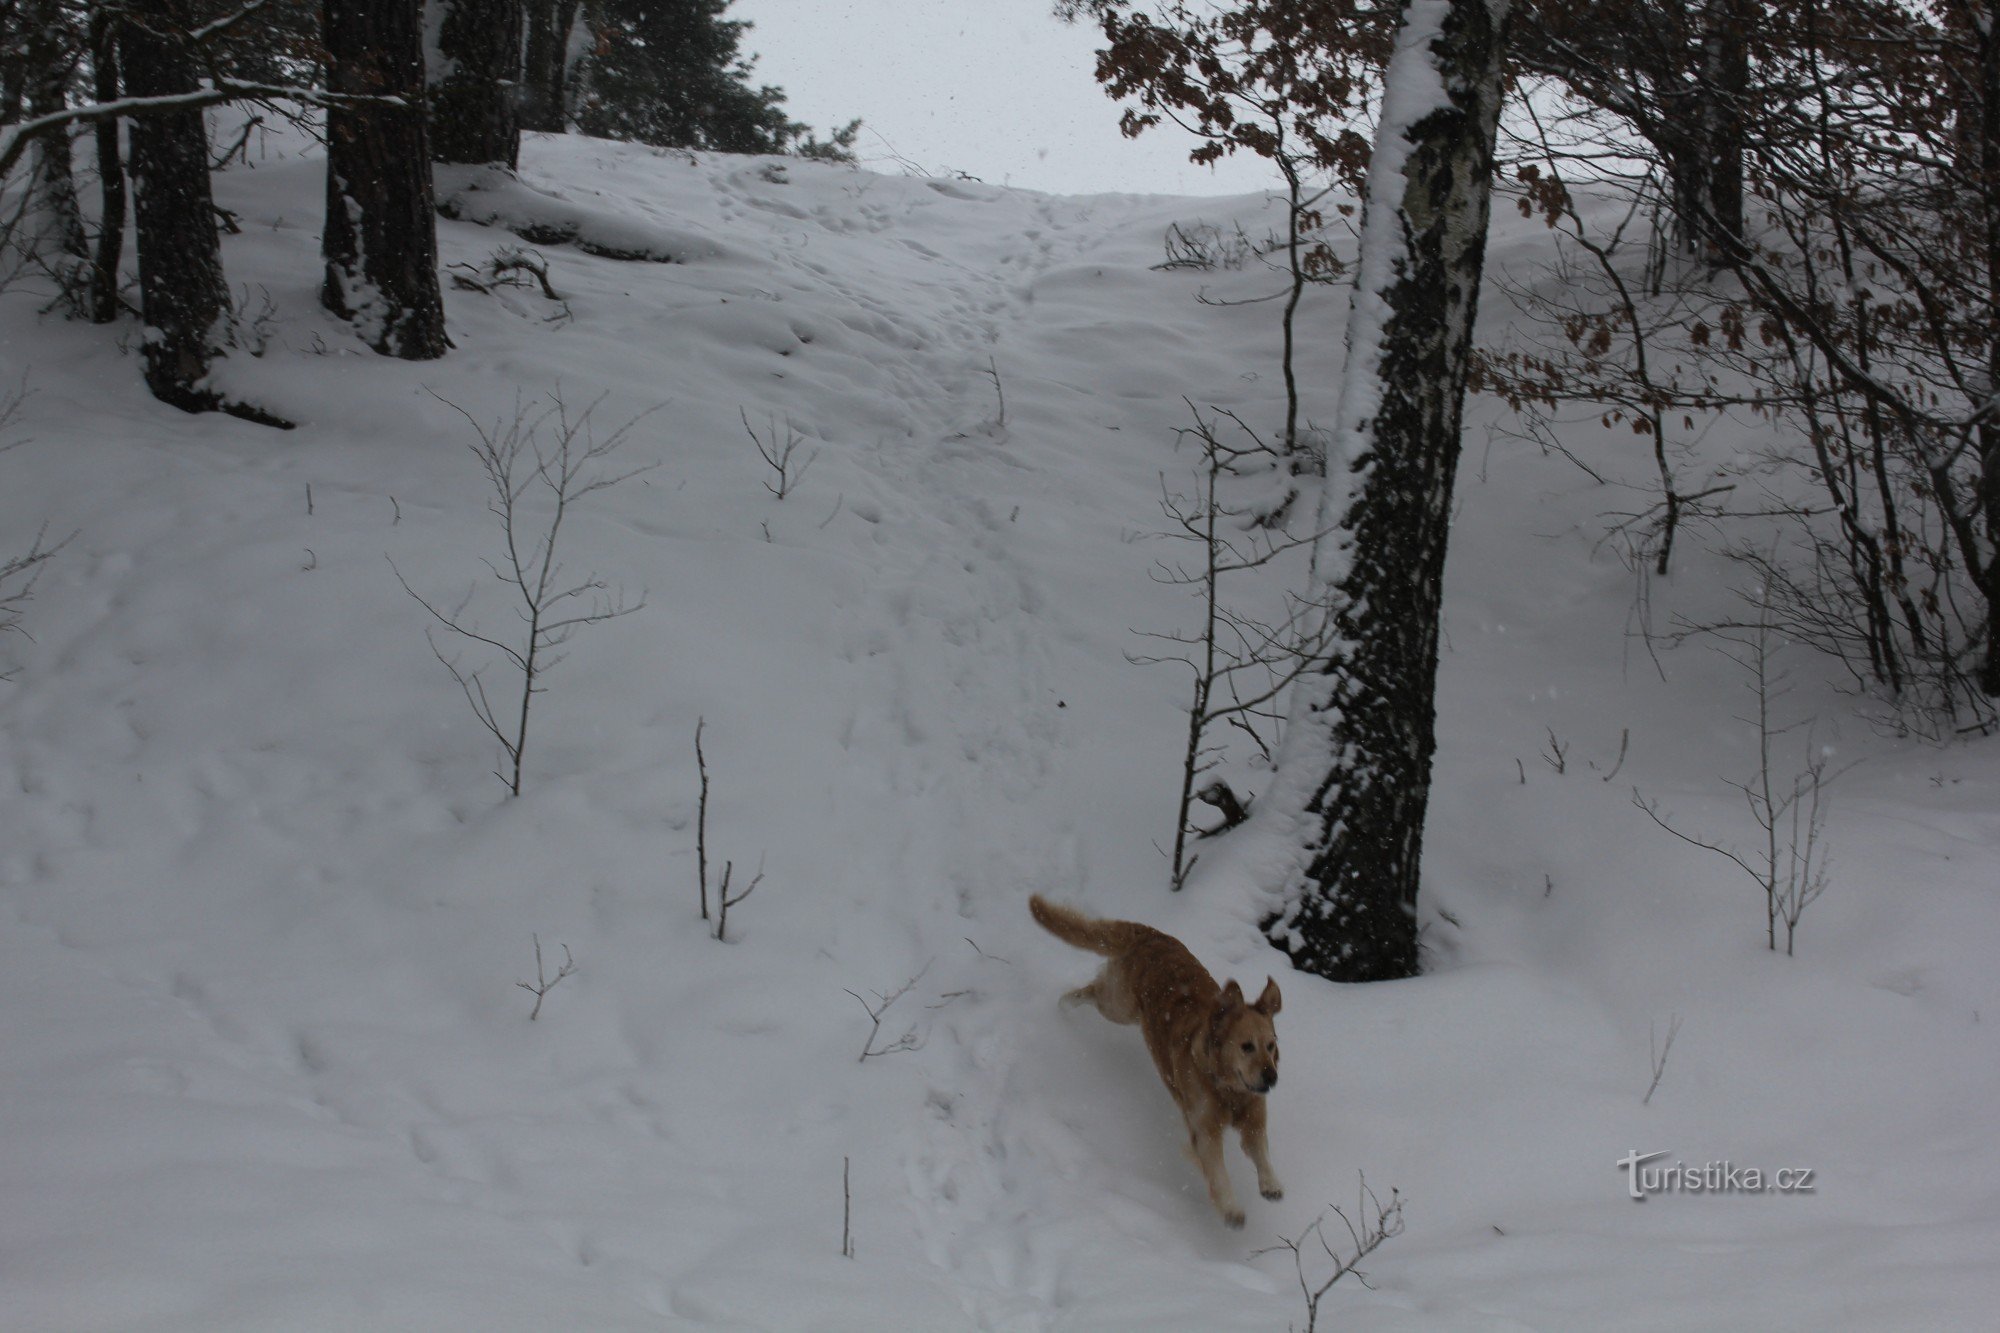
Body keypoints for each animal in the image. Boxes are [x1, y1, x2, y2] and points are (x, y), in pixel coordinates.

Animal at [1032, 892, 1280, 1224]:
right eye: (1246, 1046)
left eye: (1271, 1046)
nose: (1271, 1077)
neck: (1227, 1088)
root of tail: (1150, 934)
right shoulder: (1204, 1129)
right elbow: (1217, 1172)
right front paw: (1231, 1208)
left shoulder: (1253, 1117)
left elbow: (1261, 1152)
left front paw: (1271, 1184)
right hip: (1119, 1006)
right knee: (1093, 991)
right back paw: (1064, 1003)